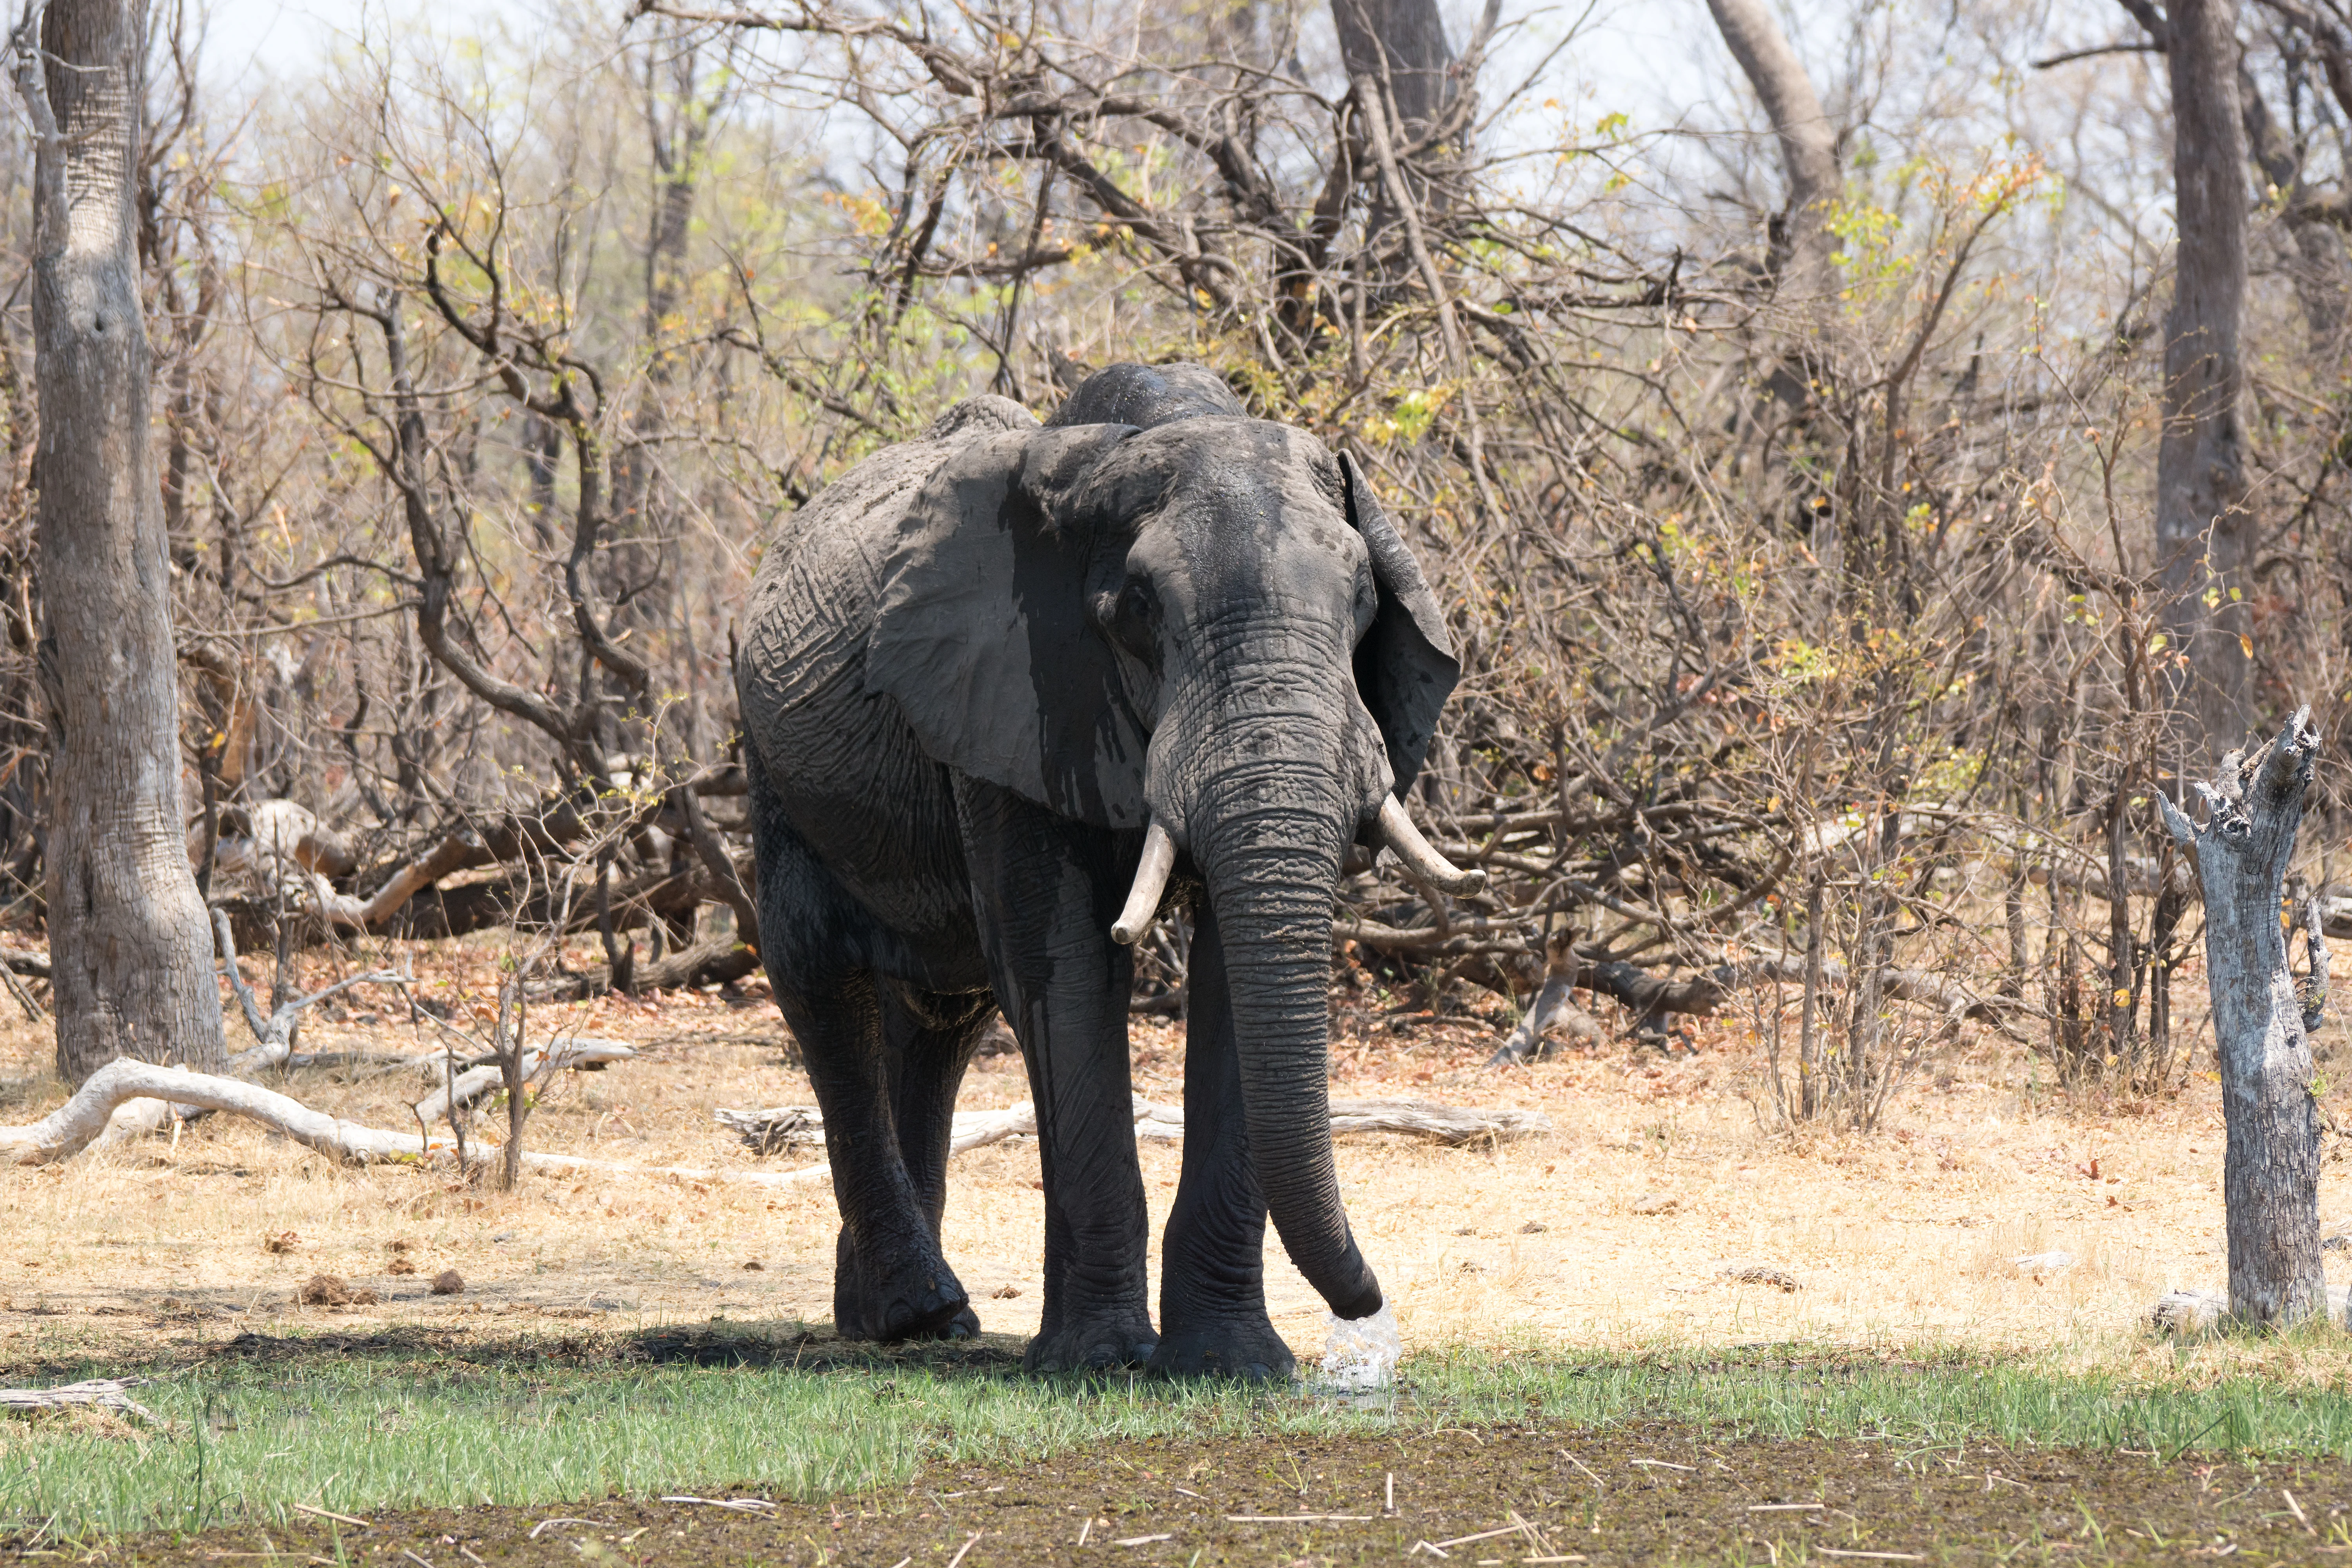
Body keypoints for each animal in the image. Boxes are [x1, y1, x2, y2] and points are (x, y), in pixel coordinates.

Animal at [735, 362, 1481, 1377]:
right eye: (1138, 611)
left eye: (1363, 599)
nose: (1366, 1311)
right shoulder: (1013, 692)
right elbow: (1062, 964)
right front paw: (1100, 1360)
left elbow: (1228, 978)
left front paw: (1235, 1364)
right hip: (771, 759)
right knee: (820, 975)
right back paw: (913, 1309)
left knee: (941, 1017)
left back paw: (919, 1318)